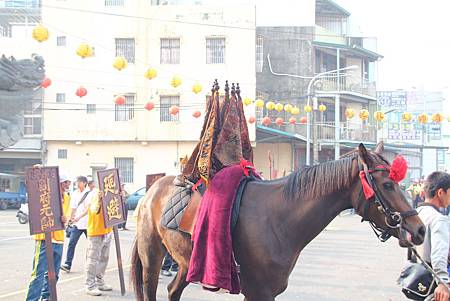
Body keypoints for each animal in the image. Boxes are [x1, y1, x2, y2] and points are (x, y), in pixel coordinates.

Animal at [131, 142, 426, 298]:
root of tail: (152, 190)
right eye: (387, 184)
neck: (280, 218)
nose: (419, 229)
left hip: (185, 262)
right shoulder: (258, 292)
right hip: (152, 255)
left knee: (173, 291)